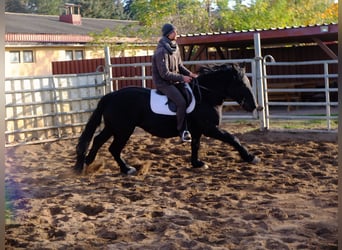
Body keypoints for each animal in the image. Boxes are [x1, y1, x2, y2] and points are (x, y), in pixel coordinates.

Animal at [74, 63, 262, 175]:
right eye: (241, 84)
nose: (254, 106)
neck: (205, 96)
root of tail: (111, 96)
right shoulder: (210, 128)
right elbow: (233, 138)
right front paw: (250, 157)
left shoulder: (197, 130)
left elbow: (196, 146)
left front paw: (197, 163)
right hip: (123, 130)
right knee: (113, 148)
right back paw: (126, 169)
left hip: (114, 127)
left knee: (98, 140)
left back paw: (87, 164)